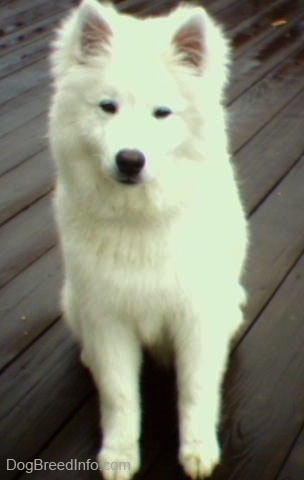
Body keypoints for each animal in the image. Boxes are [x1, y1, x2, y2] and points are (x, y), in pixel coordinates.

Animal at [49, 1, 247, 478]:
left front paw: (198, 450)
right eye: (108, 107)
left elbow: (195, 390)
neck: (140, 221)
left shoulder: (196, 317)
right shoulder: (108, 319)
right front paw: (119, 455)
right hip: (73, 301)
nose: (130, 160)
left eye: (162, 113)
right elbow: (119, 395)